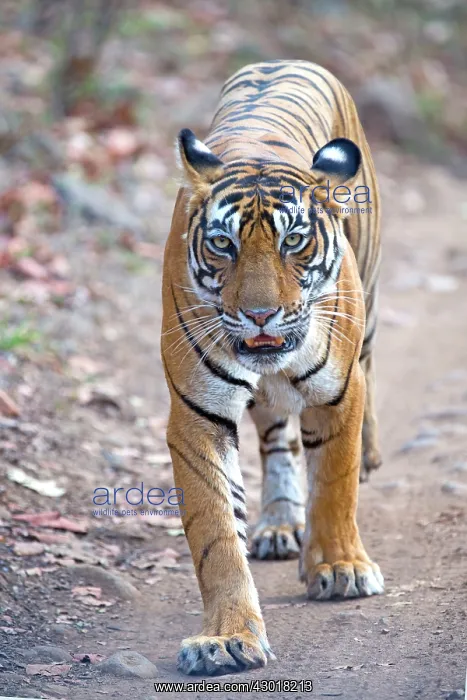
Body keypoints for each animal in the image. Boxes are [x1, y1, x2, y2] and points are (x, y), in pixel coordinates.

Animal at [161, 59, 384, 676]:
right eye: (223, 245)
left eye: (294, 240)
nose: (260, 314)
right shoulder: (197, 415)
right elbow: (215, 534)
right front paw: (224, 638)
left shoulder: (340, 391)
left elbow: (334, 483)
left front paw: (339, 568)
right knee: (279, 438)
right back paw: (281, 522)